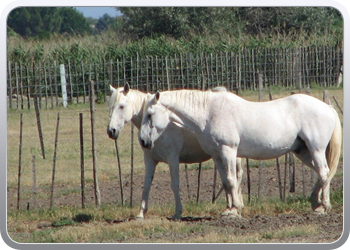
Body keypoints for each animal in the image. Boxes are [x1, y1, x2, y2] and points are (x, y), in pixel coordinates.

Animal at [107, 85, 243, 220]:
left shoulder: (172, 158)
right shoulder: (150, 159)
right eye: (110, 106)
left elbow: (175, 184)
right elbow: (146, 185)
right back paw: (229, 207)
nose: (111, 131)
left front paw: (177, 212)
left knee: (237, 175)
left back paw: (236, 207)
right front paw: (141, 213)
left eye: (121, 106)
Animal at [140, 90, 342, 217]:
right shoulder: (217, 155)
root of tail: (327, 107)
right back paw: (317, 203)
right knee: (322, 173)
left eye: (149, 114)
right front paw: (228, 209)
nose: (143, 141)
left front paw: (235, 210)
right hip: (303, 152)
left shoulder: (228, 150)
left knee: (323, 172)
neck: (209, 113)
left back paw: (322, 207)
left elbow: (231, 180)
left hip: (316, 149)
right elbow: (225, 182)